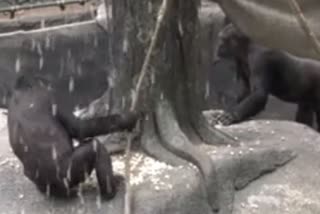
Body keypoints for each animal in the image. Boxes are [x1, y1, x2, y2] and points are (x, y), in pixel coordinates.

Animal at [6, 73, 140, 199]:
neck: (23, 92)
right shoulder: (53, 97)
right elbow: (80, 128)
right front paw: (127, 119)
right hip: (68, 176)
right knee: (95, 147)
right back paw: (109, 192)